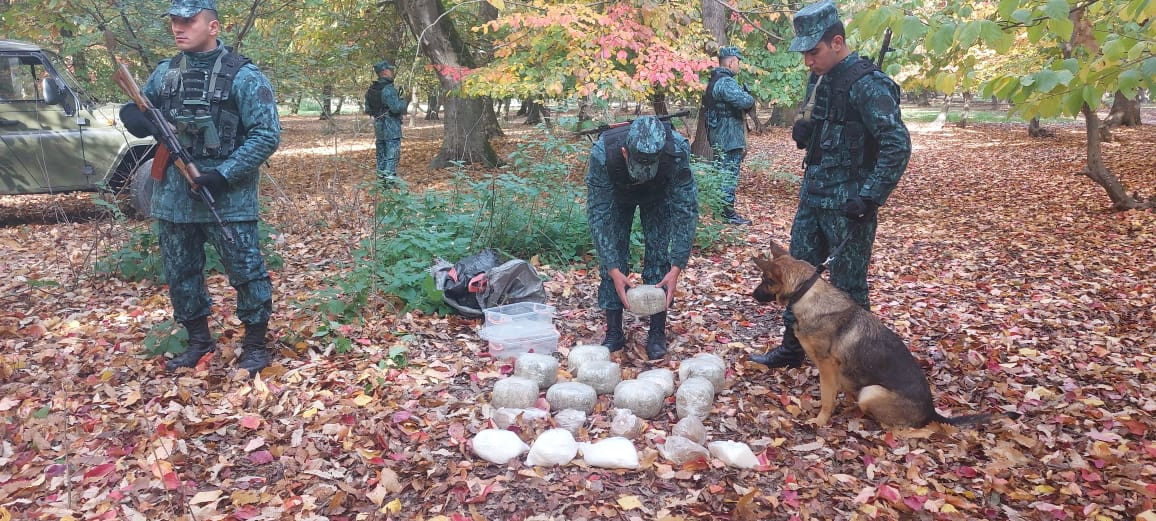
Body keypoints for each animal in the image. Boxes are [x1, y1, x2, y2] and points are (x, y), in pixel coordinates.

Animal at [749, 242, 994, 429]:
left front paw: (820, 420)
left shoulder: (826, 366)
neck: (806, 293)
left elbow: (827, 397)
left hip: (871, 392)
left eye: (764, 279)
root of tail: (931, 412)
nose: (752, 295)